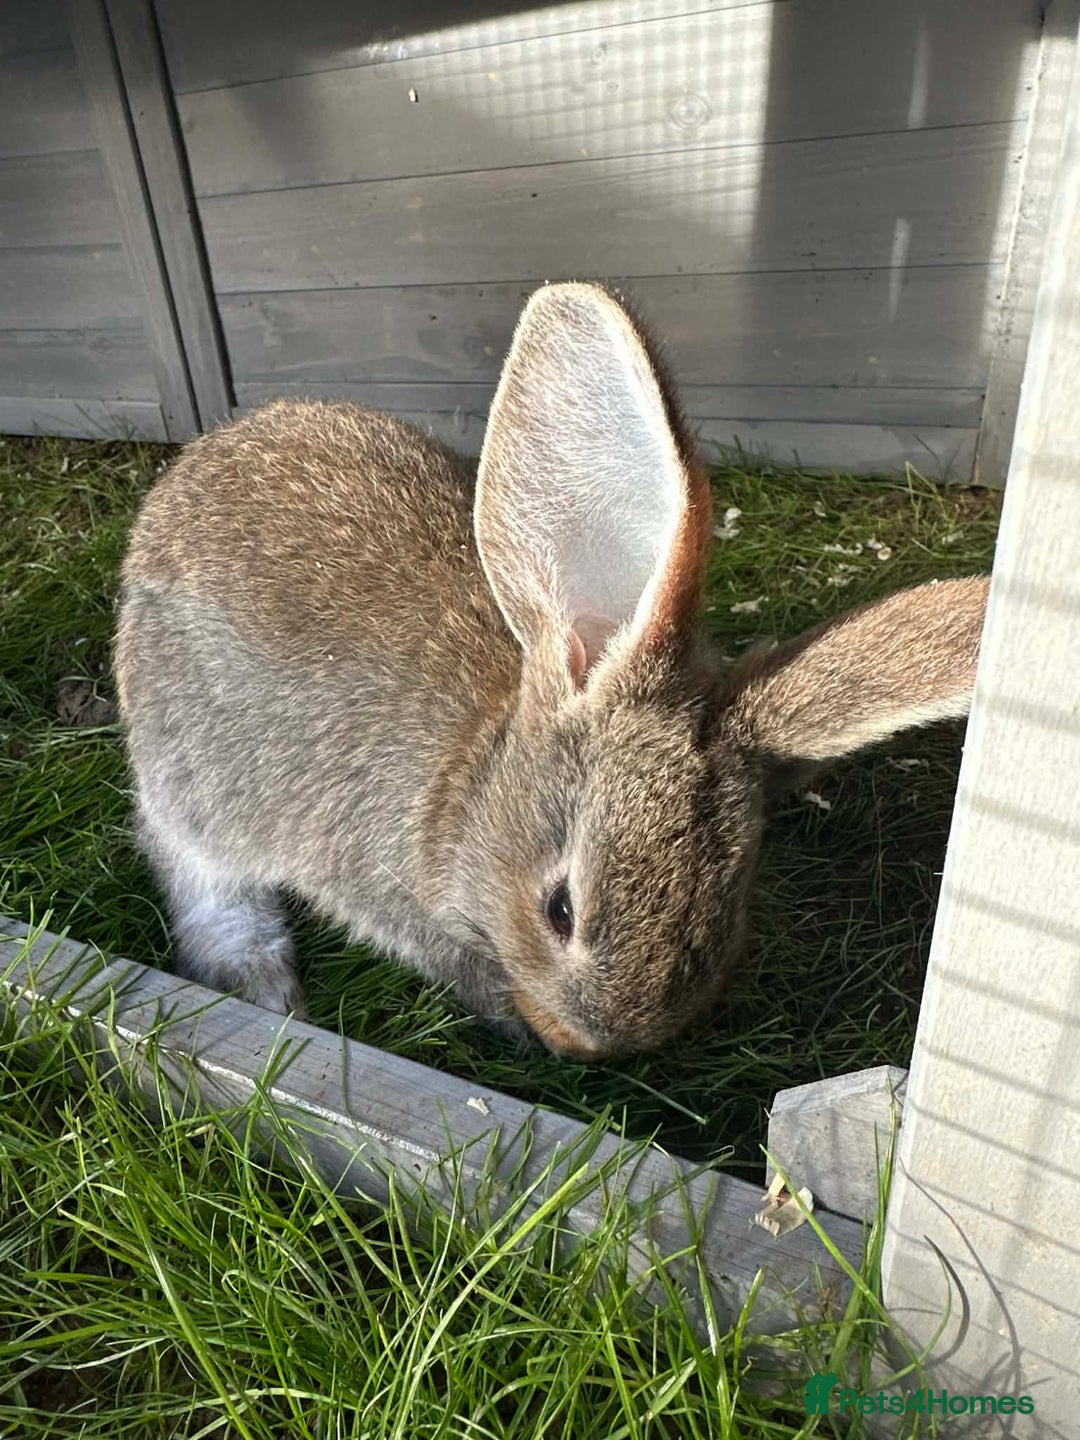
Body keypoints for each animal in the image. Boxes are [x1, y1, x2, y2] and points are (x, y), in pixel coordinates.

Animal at [115, 282, 989, 1059]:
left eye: (730, 909)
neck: (468, 788)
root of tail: (193, 467)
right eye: (558, 910)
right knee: (192, 864)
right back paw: (253, 979)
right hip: (182, 766)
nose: (594, 1045)